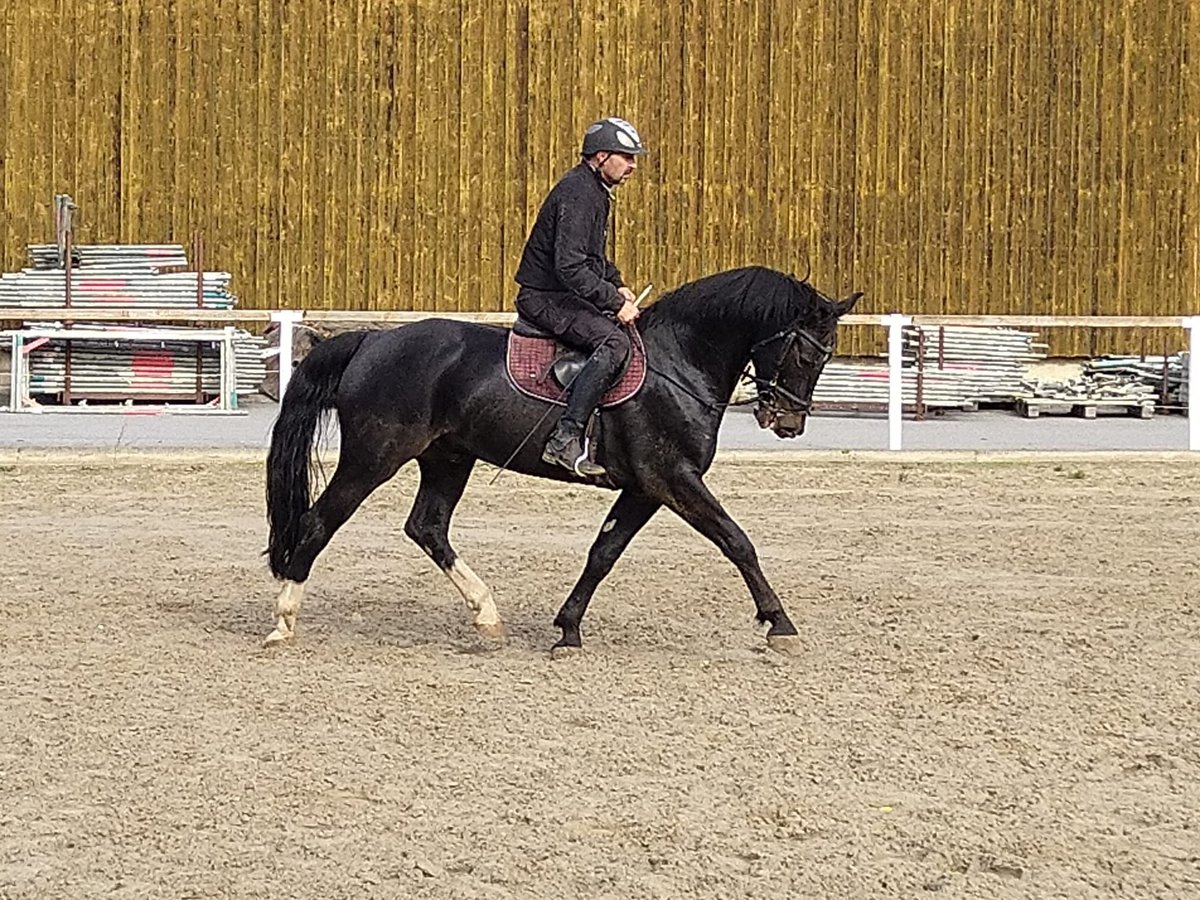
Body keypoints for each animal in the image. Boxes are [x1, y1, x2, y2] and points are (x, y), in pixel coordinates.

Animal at [266, 267, 859, 657]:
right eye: (806, 351)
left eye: (827, 354)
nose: (788, 423)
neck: (679, 363)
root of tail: (371, 341)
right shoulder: (673, 480)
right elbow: (737, 541)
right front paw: (779, 623)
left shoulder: (643, 489)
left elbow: (603, 553)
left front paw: (568, 629)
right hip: (374, 457)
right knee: (319, 522)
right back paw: (284, 620)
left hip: (448, 459)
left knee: (427, 527)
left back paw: (487, 614)